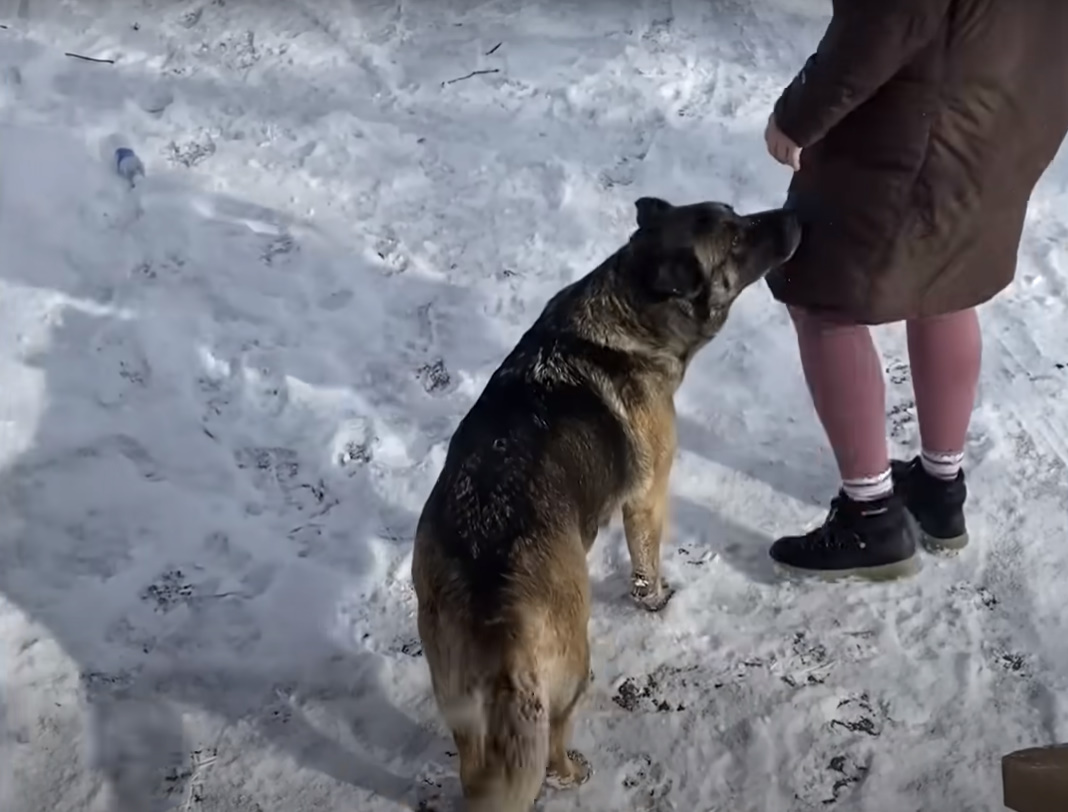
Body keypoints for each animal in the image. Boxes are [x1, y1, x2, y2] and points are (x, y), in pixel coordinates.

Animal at [412, 198, 798, 811]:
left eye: (736, 215)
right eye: (736, 238)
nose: (794, 216)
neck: (629, 305)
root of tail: (492, 607)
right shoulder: (648, 496)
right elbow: (647, 565)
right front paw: (656, 602)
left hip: (461, 710)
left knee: (479, 772)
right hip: (571, 675)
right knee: (549, 749)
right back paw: (573, 774)